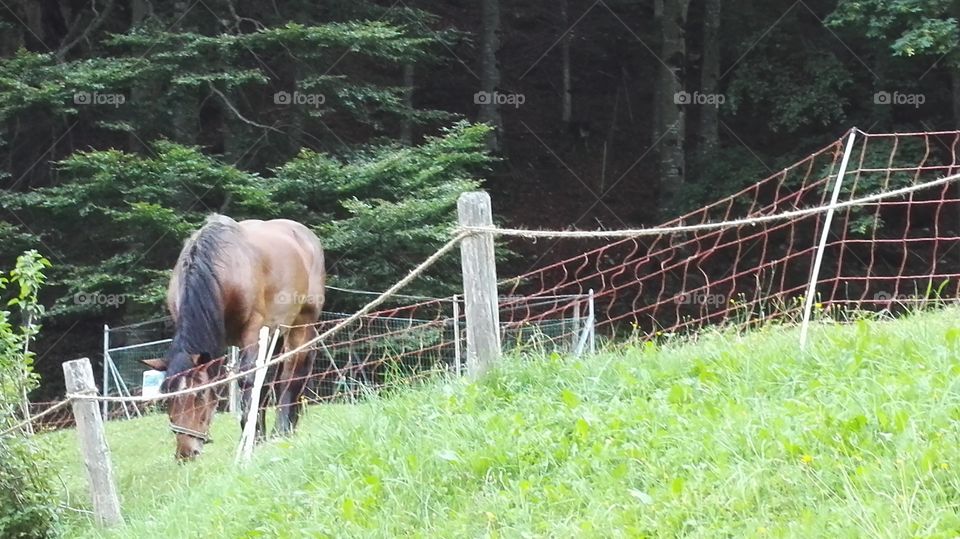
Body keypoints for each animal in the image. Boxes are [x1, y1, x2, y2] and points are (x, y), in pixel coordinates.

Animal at [142, 214, 325, 460]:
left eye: (200, 396)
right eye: (167, 398)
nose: (186, 452)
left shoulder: (253, 329)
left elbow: (248, 380)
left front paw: (253, 438)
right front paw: (256, 437)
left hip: (301, 323)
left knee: (292, 371)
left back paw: (283, 430)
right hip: (275, 332)